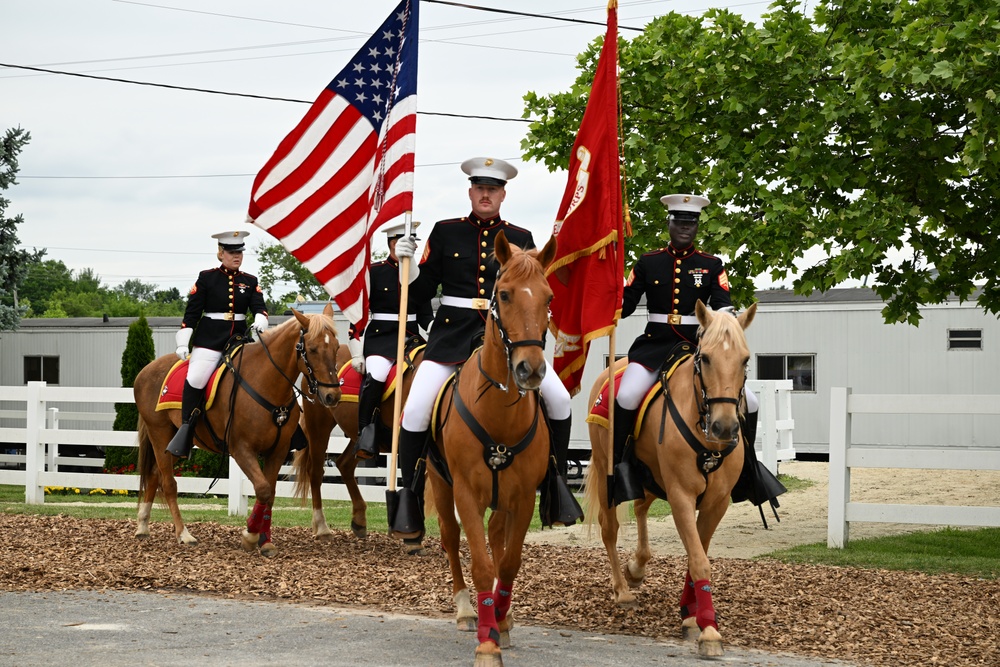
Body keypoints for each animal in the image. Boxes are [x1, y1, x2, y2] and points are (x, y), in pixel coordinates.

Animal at [131, 310, 342, 560]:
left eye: (336, 347)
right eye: (312, 349)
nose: (332, 396)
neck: (267, 382)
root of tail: (145, 371)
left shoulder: (277, 451)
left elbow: (269, 493)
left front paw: (265, 540)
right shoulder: (241, 449)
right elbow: (262, 489)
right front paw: (250, 535)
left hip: (175, 443)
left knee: (154, 475)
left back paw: (143, 526)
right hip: (160, 433)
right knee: (168, 482)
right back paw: (184, 534)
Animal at [292, 342, 420, 544]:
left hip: (357, 438)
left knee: (343, 464)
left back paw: (359, 519)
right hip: (319, 425)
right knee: (316, 471)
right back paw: (322, 527)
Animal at [428, 231, 560, 667]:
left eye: (548, 297)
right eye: (503, 294)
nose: (530, 370)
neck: (499, 412)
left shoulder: (523, 497)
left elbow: (510, 561)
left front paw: (500, 620)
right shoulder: (466, 493)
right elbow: (483, 565)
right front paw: (486, 642)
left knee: (497, 538)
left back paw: (502, 616)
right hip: (441, 485)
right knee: (452, 539)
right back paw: (467, 610)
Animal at [584, 302, 752, 656]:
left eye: (745, 359)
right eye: (706, 358)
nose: (725, 427)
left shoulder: (717, 502)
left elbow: (696, 553)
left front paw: (691, 614)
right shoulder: (681, 496)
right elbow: (699, 559)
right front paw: (709, 630)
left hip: (648, 475)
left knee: (640, 509)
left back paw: (637, 567)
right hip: (608, 471)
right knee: (610, 528)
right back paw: (622, 589)